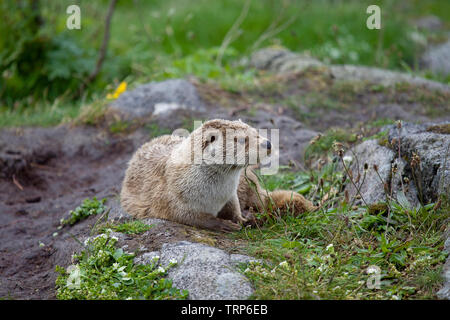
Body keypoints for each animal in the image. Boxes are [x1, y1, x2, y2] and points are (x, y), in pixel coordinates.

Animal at [119, 120, 316, 232]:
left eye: (256, 132)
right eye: (242, 139)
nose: (267, 143)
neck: (214, 194)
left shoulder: (230, 195)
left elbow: (234, 208)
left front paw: (243, 220)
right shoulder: (172, 200)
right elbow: (194, 218)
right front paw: (224, 225)